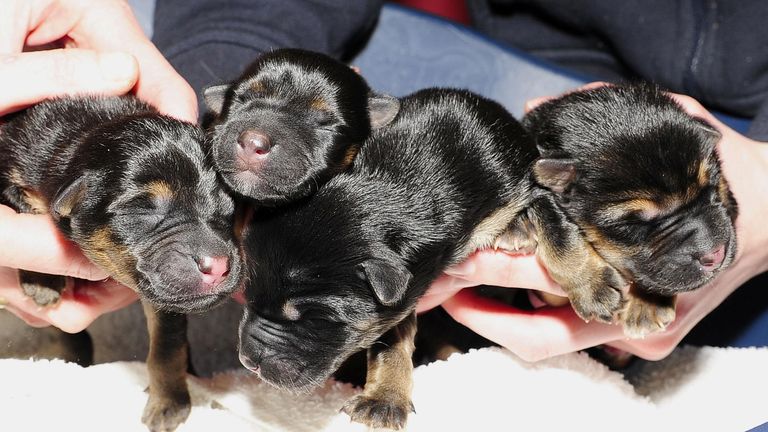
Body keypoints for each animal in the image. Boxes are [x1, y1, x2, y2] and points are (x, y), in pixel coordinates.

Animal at [0, 95, 243, 432]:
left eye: (229, 208)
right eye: (142, 208)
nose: (218, 266)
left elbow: (167, 346)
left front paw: (169, 404)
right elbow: (21, 202)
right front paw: (43, 280)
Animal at [520, 82, 736, 338]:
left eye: (712, 186)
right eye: (632, 224)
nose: (716, 254)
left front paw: (647, 306)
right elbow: (556, 230)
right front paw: (593, 287)